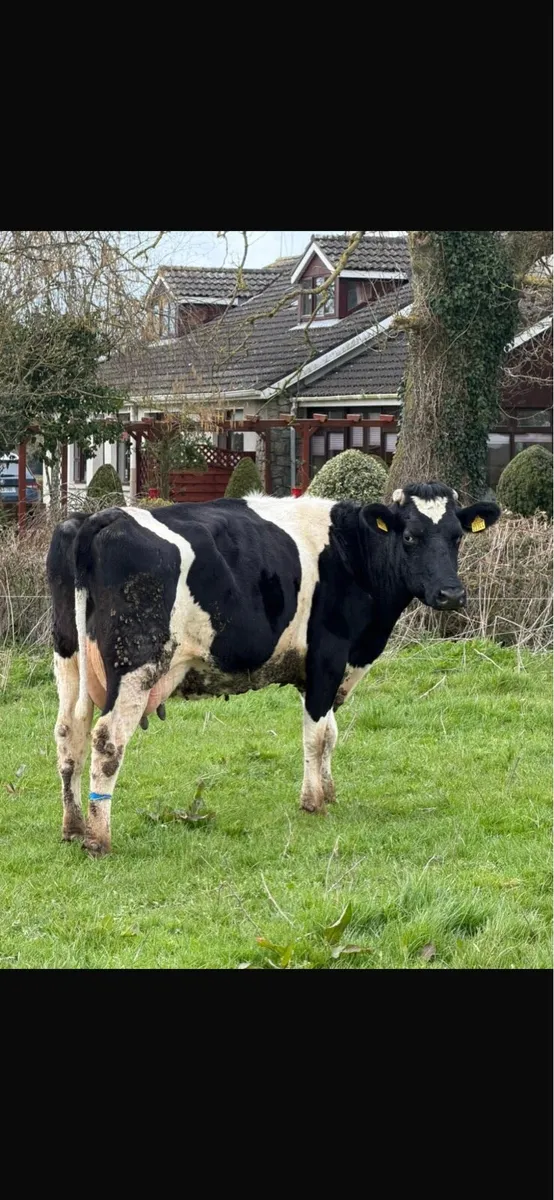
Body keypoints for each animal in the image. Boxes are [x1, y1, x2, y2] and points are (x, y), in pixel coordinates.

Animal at [46, 482, 500, 856]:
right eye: (409, 537)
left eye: (457, 537)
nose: (451, 594)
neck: (350, 551)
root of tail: (103, 517)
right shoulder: (328, 656)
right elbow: (317, 735)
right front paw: (313, 802)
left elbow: (331, 733)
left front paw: (329, 792)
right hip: (137, 662)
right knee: (107, 741)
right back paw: (98, 838)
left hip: (68, 658)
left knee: (70, 732)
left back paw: (72, 828)